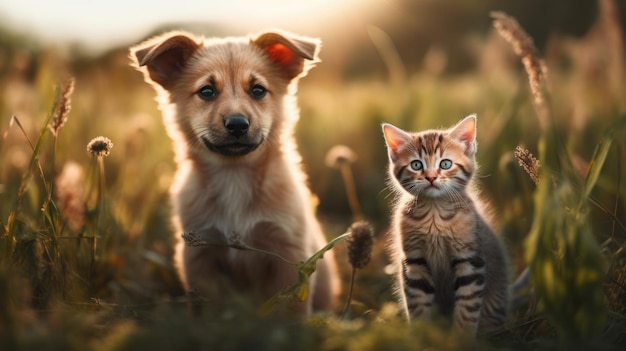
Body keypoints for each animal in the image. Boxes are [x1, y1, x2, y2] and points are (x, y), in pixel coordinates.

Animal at [129, 30, 338, 314]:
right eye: (206, 91)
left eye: (258, 90)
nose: (238, 124)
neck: (234, 176)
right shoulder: (199, 254)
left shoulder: (289, 253)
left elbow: (291, 309)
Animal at [380, 115, 508, 336]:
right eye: (416, 165)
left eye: (446, 164)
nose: (431, 177)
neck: (435, 214)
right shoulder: (414, 261)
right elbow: (418, 303)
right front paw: (421, 335)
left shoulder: (469, 258)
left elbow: (468, 304)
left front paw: (461, 338)